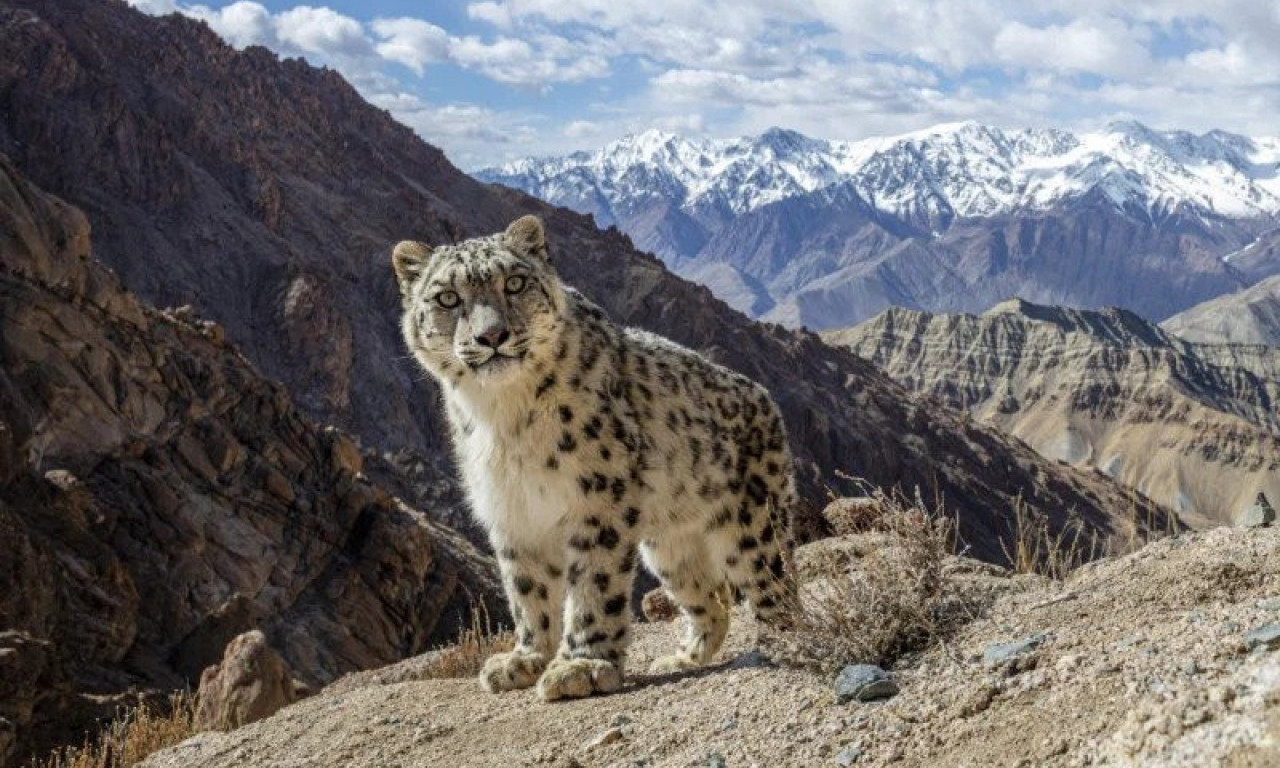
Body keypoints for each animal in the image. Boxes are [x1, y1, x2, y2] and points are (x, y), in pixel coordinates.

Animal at [394, 212, 793, 701]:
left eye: (515, 282)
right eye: (447, 297)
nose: (491, 336)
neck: (502, 416)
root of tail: (765, 398)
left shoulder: (598, 497)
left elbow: (593, 584)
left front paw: (581, 666)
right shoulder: (510, 509)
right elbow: (526, 589)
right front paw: (524, 659)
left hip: (754, 528)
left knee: (775, 587)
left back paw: (785, 641)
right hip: (670, 549)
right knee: (711, 599)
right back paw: (682, 658)